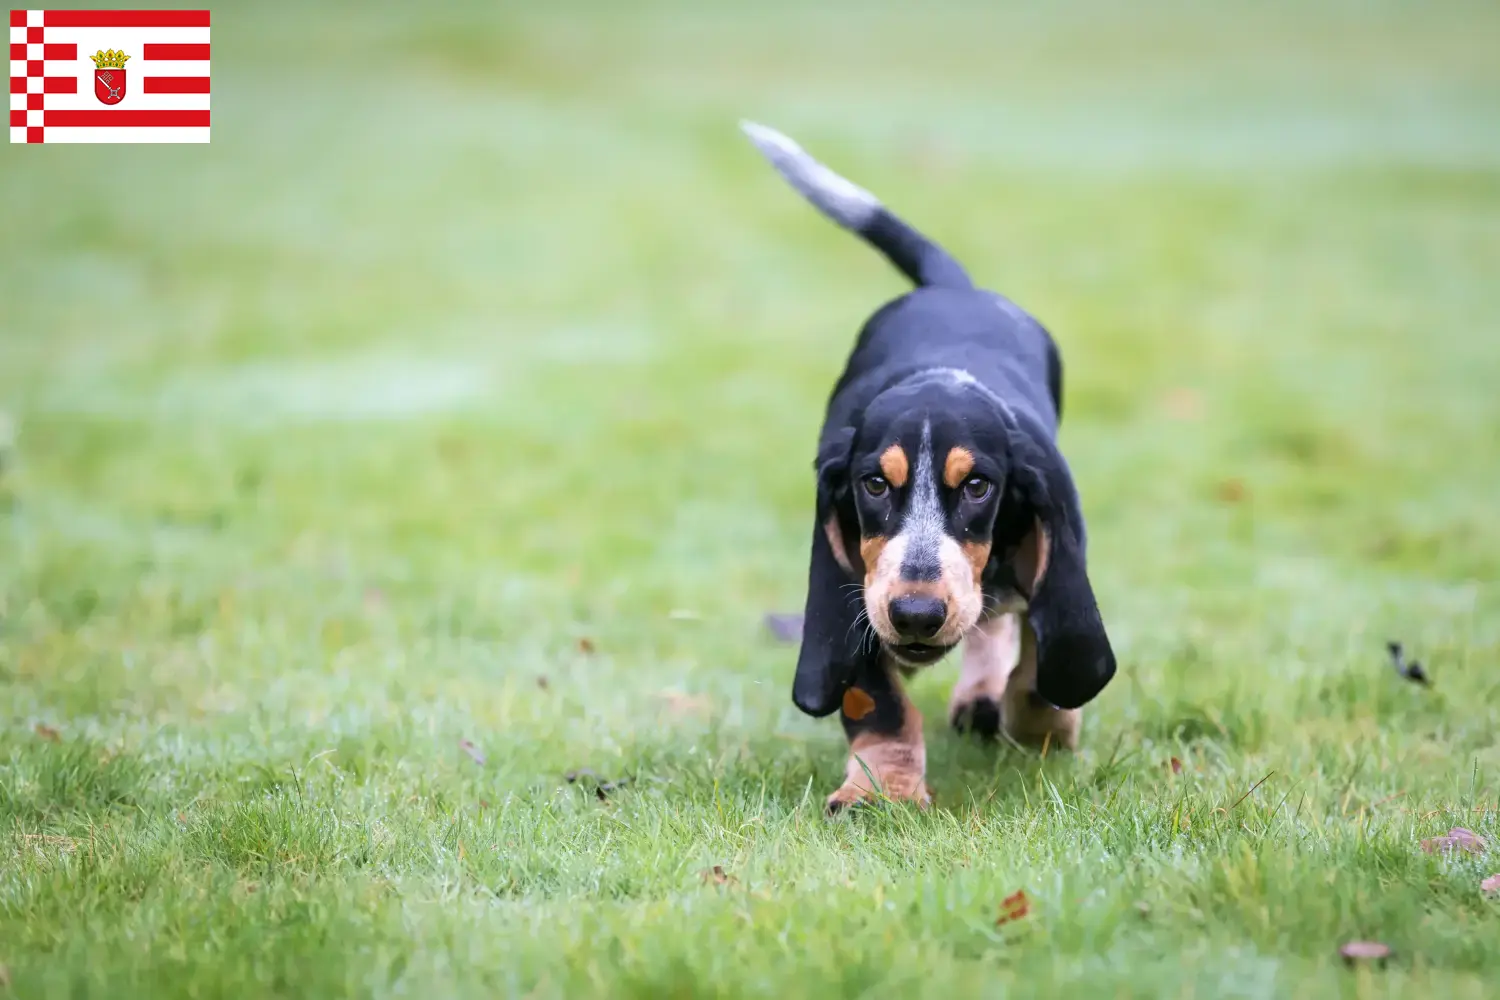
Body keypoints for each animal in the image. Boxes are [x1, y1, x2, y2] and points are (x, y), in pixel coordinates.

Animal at [741, 125, 1116, 815]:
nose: (916, 614)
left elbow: (1041, 653)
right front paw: (878, 792)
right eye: (873, 484)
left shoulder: (1055, 541)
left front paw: (1042, 726)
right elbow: (879, 704)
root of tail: (955, 288)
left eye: (978, 487)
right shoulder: (854, 579)